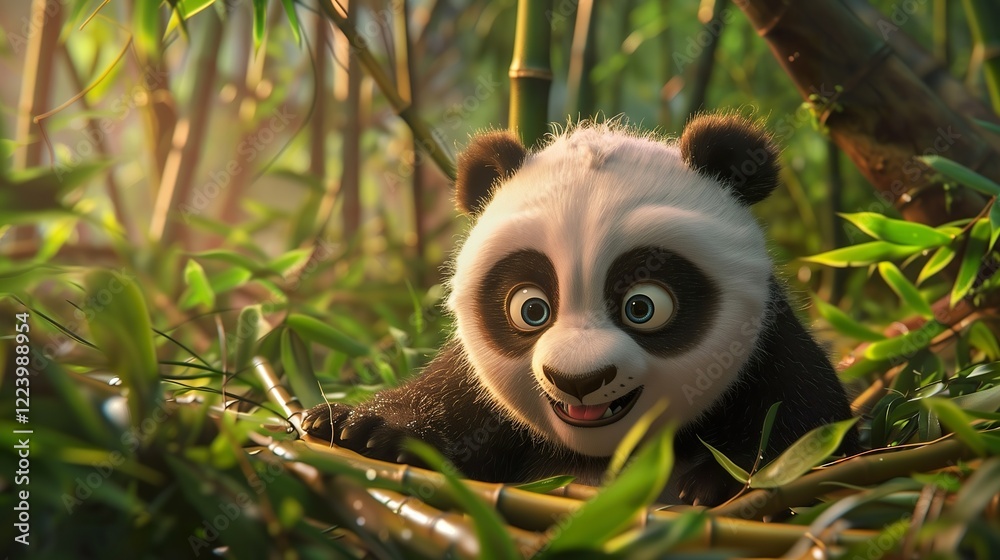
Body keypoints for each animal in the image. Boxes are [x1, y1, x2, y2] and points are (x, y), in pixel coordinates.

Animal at [302, 113, 858, 506]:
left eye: (642, 306)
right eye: (531, 309)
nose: (579, 380)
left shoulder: (770, 352)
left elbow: (810, 429)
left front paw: (721, 478)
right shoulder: (477, 394)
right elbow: (446, 411)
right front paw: (357, 427)